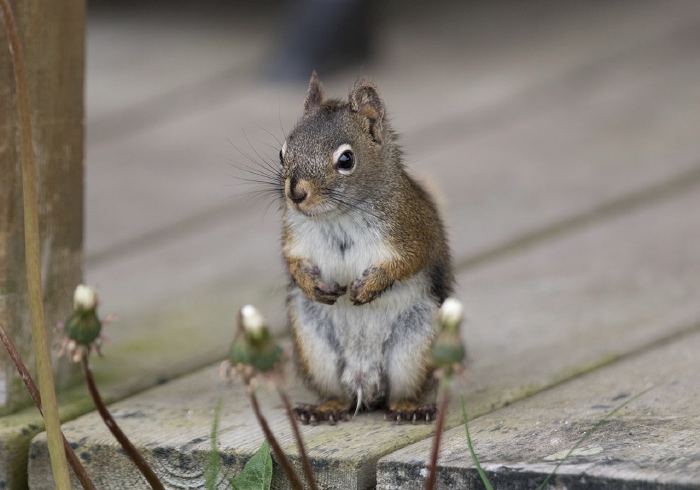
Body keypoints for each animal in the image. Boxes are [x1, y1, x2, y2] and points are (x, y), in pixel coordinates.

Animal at [278, 72, 454, 424]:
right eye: (282, 151)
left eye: (346, 159)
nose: (295, 193)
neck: (338, 216)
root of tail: (363, 382)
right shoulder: (295, 238)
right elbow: (293, 260)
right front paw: (310, 284)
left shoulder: (412, 229)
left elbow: (408, 261)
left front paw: (370, 286)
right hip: (313, 344)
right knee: (339, 396)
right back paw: (324, 409)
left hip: (416, 344)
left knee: (399, 394)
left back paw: (409, 409)